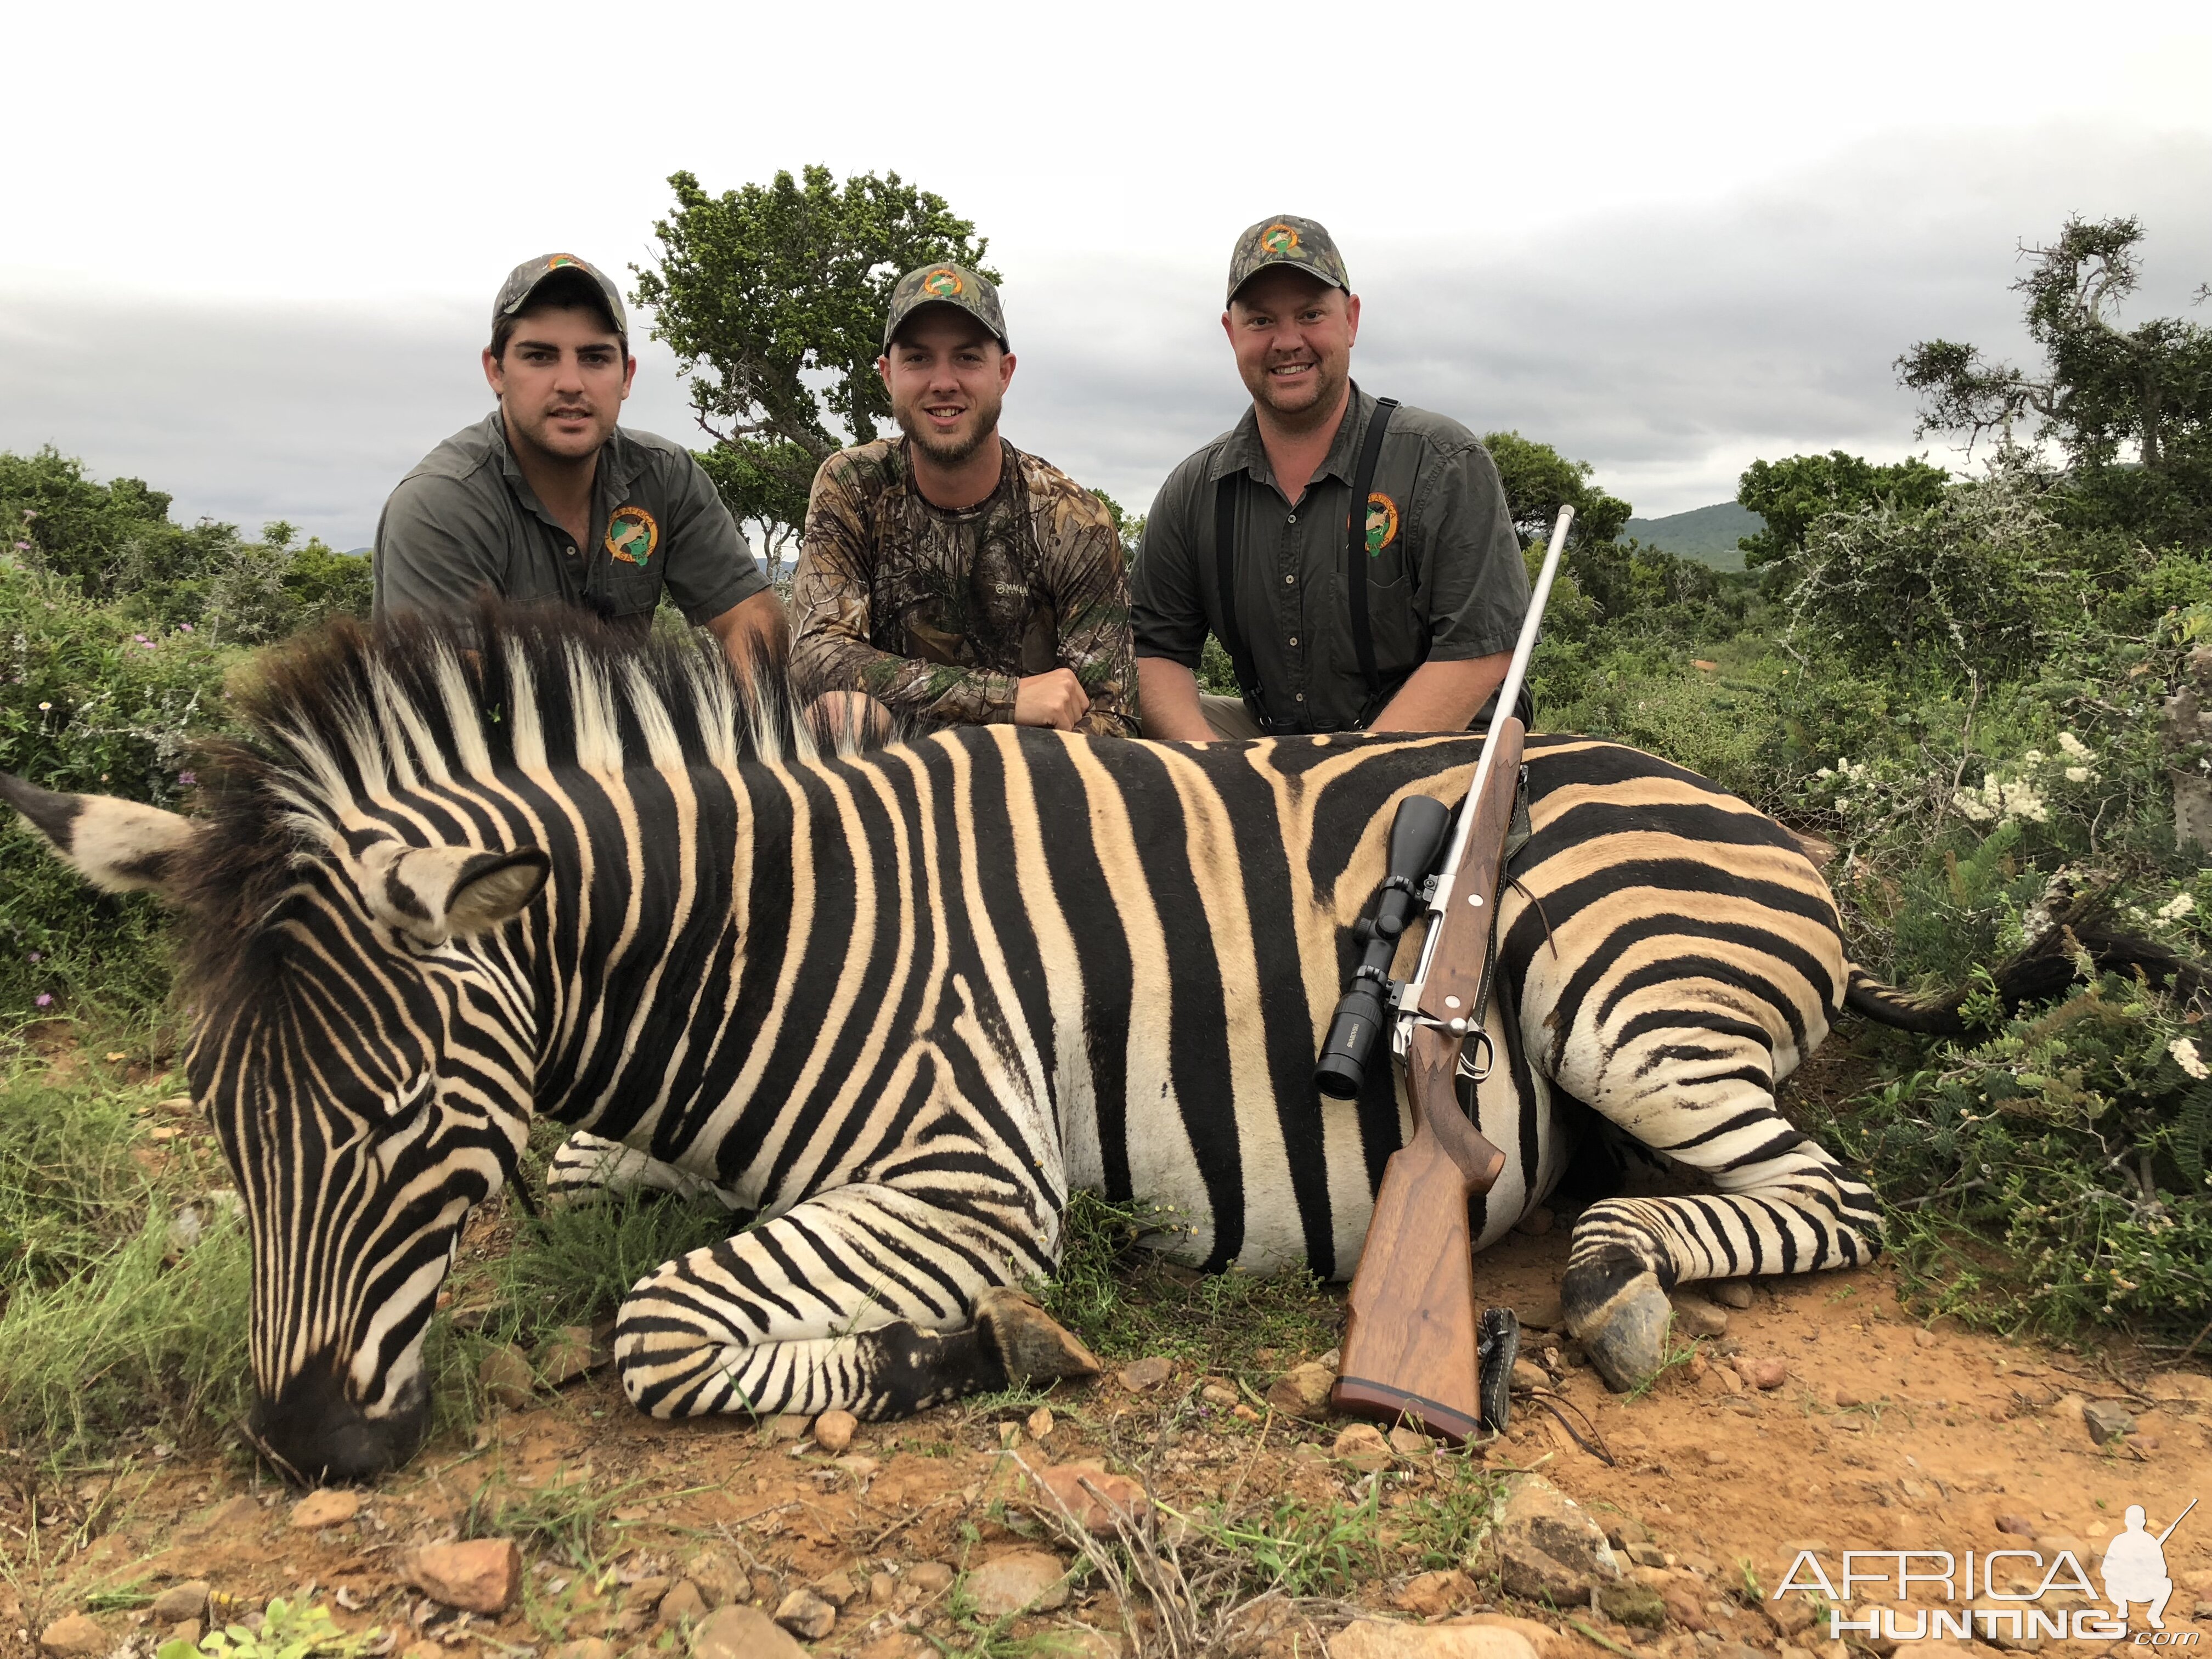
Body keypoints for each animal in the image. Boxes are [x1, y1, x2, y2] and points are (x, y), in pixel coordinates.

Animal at [0, 606, 1973, 1477]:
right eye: (219, 1115)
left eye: (402, 1116)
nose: (302, 1446)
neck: (746, 938)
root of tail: (1748, 809)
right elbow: (590, 1184)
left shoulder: (973, 1175)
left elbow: (655, 1325)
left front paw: (971, 1351)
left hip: (1628, 1000)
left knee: (1826, 1196)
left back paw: (1621, 1274)